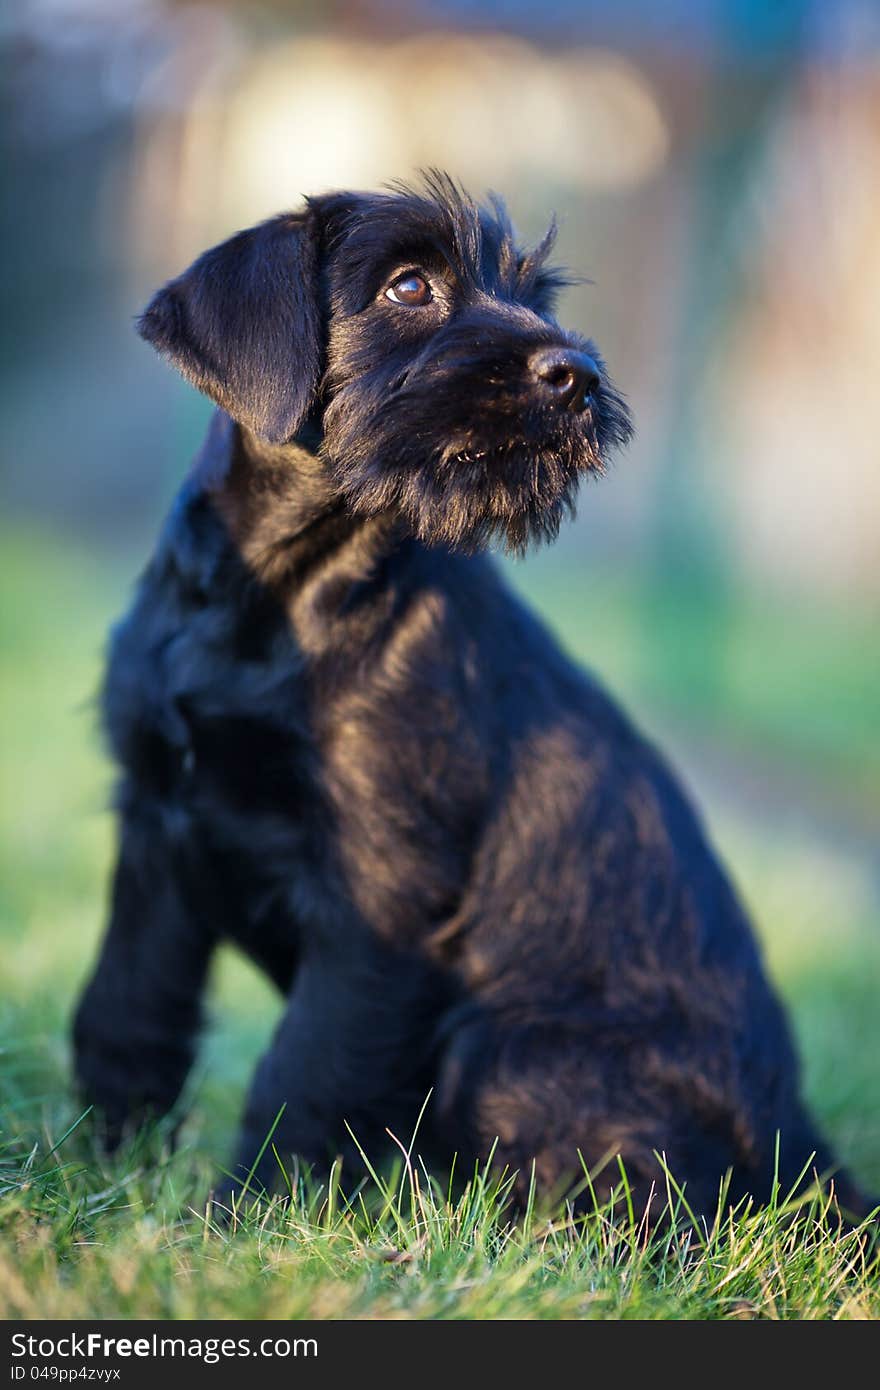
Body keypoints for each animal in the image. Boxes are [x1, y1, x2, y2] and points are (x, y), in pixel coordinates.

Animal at [73, 173, 867, 1217]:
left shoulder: (380, 889)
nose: (577, 372)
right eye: (409, 286)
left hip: (507, 1053)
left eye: (537, 294)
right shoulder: (156, 825)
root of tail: (802, 1148)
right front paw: (95, 1169)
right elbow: (126, 1007)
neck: (284, 593)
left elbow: (307, 1065)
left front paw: (250, 1215)